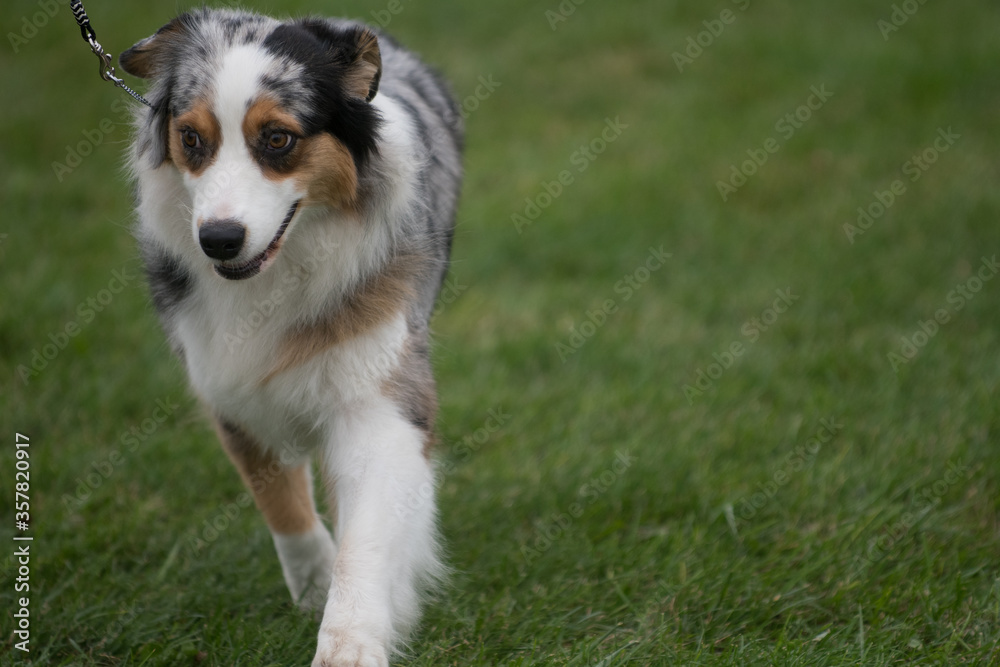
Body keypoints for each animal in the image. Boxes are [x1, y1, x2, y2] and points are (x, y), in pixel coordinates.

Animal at [119, 7, 462, 664]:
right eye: (191, 139)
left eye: (277, 139)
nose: (218, 240)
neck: (280, 271)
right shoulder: (229, 387)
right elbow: (280, 503)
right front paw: (315, 583)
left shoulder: (379, 395)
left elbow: (367, 536)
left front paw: (348, 643)